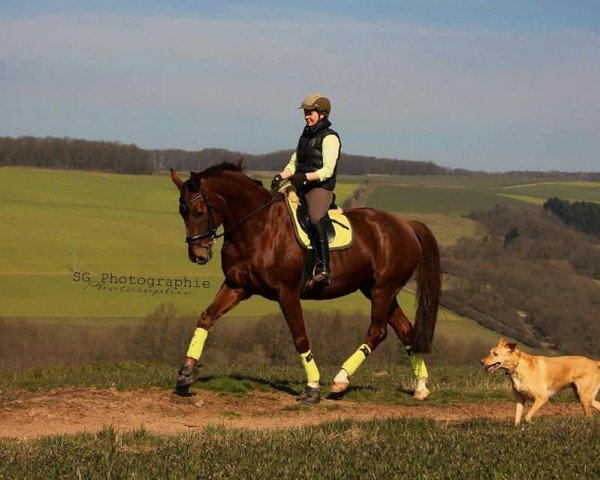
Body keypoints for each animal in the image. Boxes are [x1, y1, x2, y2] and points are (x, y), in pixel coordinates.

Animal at [169, 163, 440, 404]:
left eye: (198, 212)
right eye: (182, 212)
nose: (198, 256)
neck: (257, 226)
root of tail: (405, 225)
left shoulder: (286, 292)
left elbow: (299, 337)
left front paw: (312, 388)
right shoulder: (237, 287)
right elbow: (206, 318)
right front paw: (186, 375)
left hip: (382, 290)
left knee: (377, 331)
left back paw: (340, 380)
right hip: (379, 290)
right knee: (405, 330)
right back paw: (421, 387)